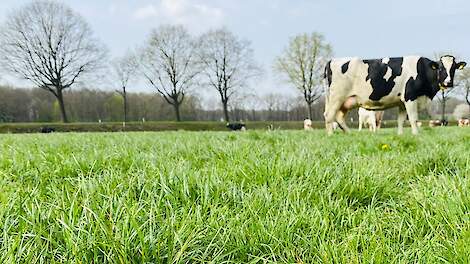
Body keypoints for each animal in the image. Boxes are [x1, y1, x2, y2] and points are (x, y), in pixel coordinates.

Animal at [324, 55, 466, 135]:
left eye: (453, 68)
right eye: (440, 68)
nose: (448, 82)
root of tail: (332, 61)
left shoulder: (402, 102)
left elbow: (401, 120)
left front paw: (400, 134)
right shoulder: (410, 97)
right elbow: (413, 118)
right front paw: (416, 134)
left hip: (346, 101)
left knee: (339, 117)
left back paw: (349, 133)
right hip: (336, 97)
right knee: (329, 115)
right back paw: (330, 135)